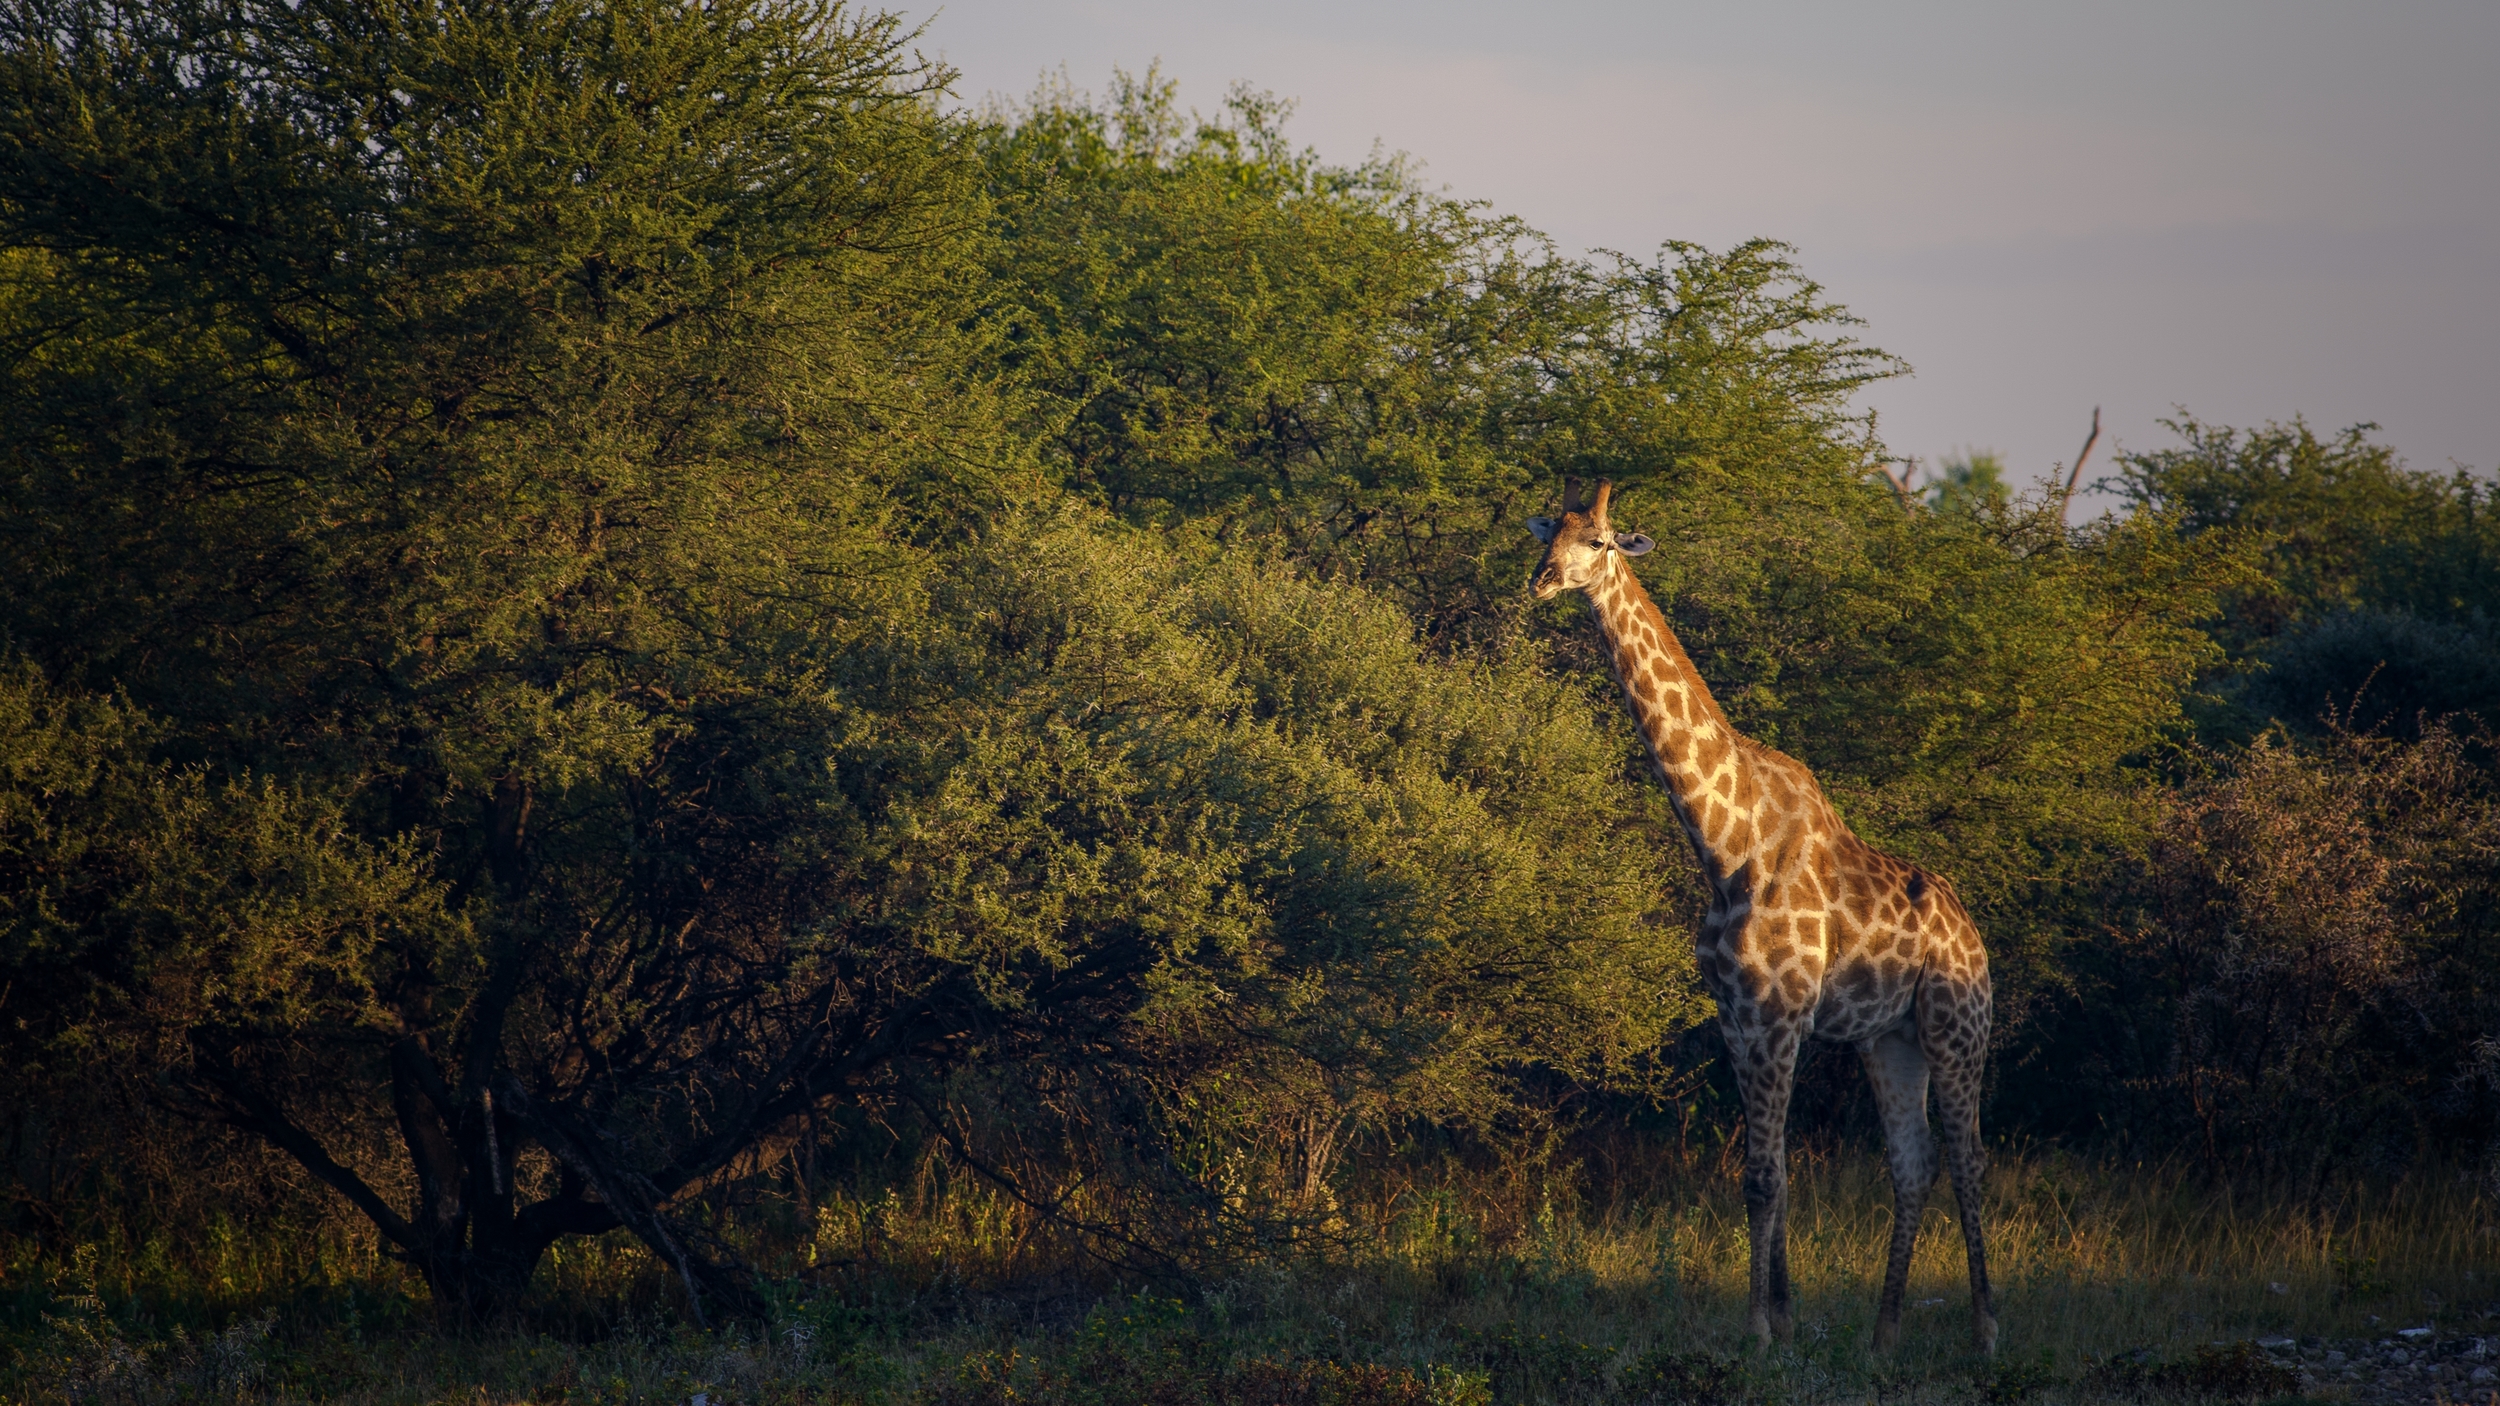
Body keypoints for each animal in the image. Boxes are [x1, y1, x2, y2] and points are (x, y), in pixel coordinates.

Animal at [1520, 475, 1990, 1350]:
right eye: (1547, 534)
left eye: (1597, 541)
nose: (1539, 581)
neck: (1725, 846)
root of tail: (1975, 936)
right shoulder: (1736, 1016)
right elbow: (1761, 1175)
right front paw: (1783, 1317)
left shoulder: (1777, 1014)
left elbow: (1769, 1176)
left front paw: (1758, 1332)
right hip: (1892, 1037)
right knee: (1913, 1164)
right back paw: (1883, 1336)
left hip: (1957, 1026)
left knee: (1970, 1159)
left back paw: (1986, 1332)